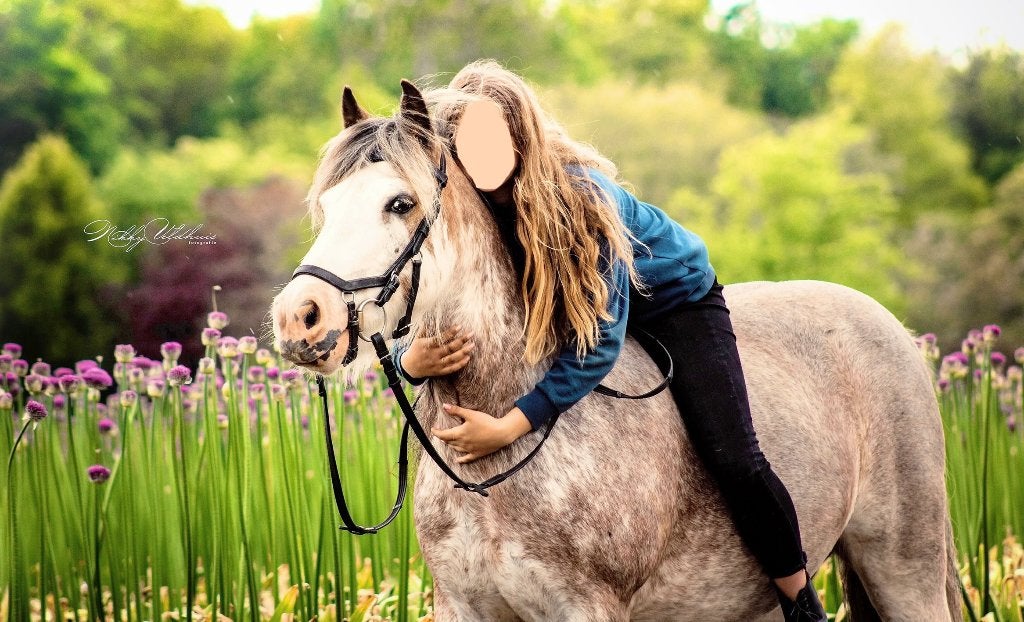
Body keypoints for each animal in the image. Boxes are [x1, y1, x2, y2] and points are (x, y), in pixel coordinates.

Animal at [271, 80, 961, 622]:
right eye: (327, 204)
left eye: (401, 202)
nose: (300, 318)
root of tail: (891, 327)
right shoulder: (464, 607)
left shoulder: (587, 606)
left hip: (905, 570)